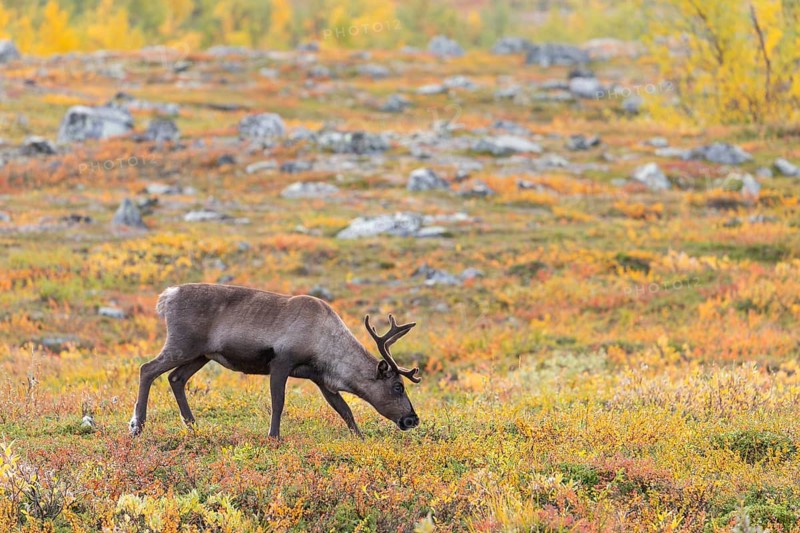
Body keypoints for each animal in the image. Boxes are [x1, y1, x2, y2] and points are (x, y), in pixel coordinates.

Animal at [129, 283, 421, 439]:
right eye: (398, 386)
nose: (412, 419)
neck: (325, 343)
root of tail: (166, 297)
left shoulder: (320, 379)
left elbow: (344, 409)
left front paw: (359, 438)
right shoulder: (281, 362)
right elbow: (278, 402)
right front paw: (274, 436)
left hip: (200, 355)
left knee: (175, 378)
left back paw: (192, 425)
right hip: (182, 344)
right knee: (147, 369)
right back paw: (137, 426)